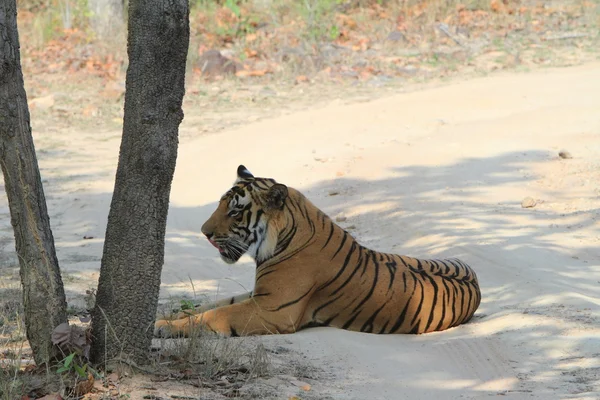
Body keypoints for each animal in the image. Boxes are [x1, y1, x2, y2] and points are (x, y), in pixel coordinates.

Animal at [152, 166, 480, 338]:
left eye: (234, 212)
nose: (204, 232)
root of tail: (474, 276)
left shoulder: (273, 309)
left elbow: (215, 313)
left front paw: (162, 327)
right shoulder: (260, 295)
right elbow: (210, 304)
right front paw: (164, 313)